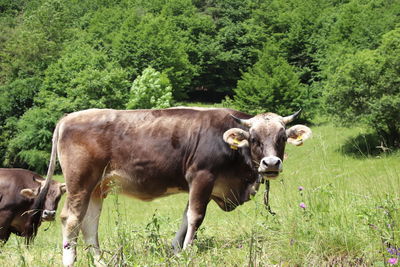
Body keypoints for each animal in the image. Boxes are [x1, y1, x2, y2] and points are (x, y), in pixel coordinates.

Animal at [43, 108, 312, 266]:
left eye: (282, 138)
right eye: (254, 139)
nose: (271, 163)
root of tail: (69, 117)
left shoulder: (202, 184)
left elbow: (185, 216)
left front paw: (176, 250)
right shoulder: (202, 175)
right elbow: (196, 216)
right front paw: (188, 251)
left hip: (98, 187)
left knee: (89, 223)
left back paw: (100, 261)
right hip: (80, 182)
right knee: (71, 219)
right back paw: (70, 260)